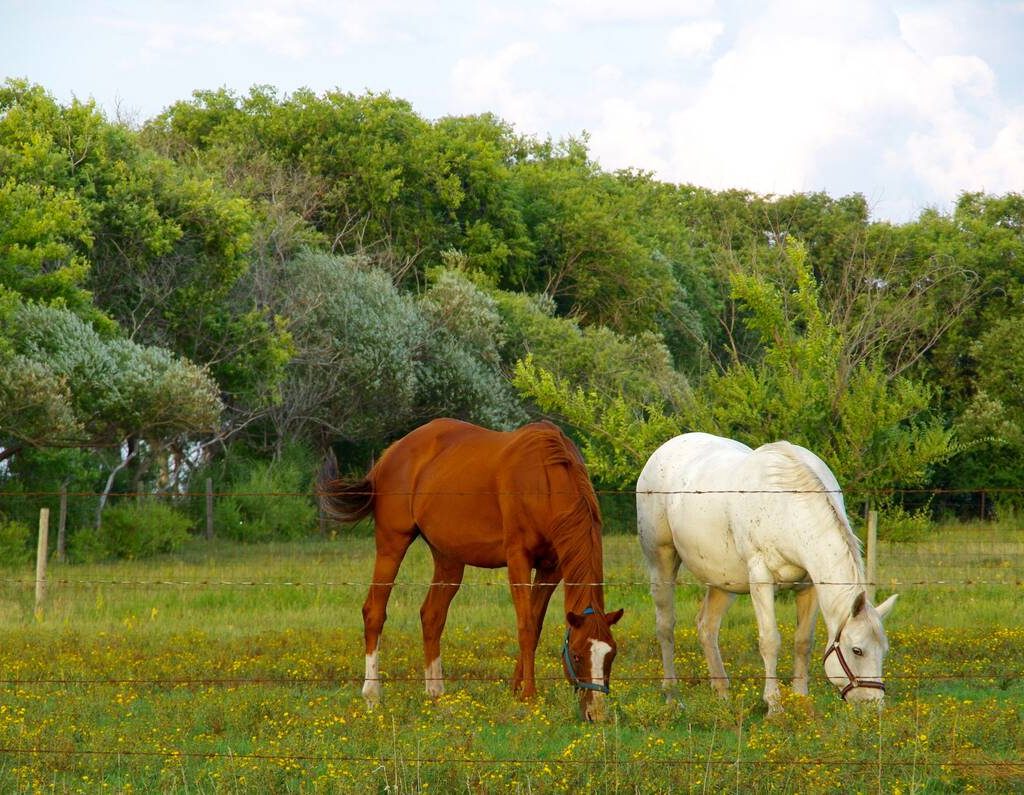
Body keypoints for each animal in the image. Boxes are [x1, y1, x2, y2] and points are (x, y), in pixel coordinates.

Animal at [320, 418, 623, 721]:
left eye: (611, 655)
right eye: (577, 655)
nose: (596, 714)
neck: (544, 478)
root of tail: (392, 453)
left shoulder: (552, 569)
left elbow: (535, 625)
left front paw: (516, 689)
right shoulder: (518, 559)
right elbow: (525, 626)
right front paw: (528, 696)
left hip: (448, 558)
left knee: (432, 616)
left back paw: (436, 695)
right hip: (391, 546)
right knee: (374, 612)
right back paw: (373, 697)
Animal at [636, 432, 897, 712]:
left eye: (884, 650)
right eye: (857, 650)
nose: (873, 706)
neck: (789, 508)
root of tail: (665, 449)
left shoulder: (810, 586)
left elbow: (803, 642)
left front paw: (801, 701)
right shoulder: (761, 578)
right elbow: (770, 640)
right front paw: (774, 706)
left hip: (723, 581)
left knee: (707, 627)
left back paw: (722, 693)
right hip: (662, 561)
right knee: (665, 625)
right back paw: (672, 695)